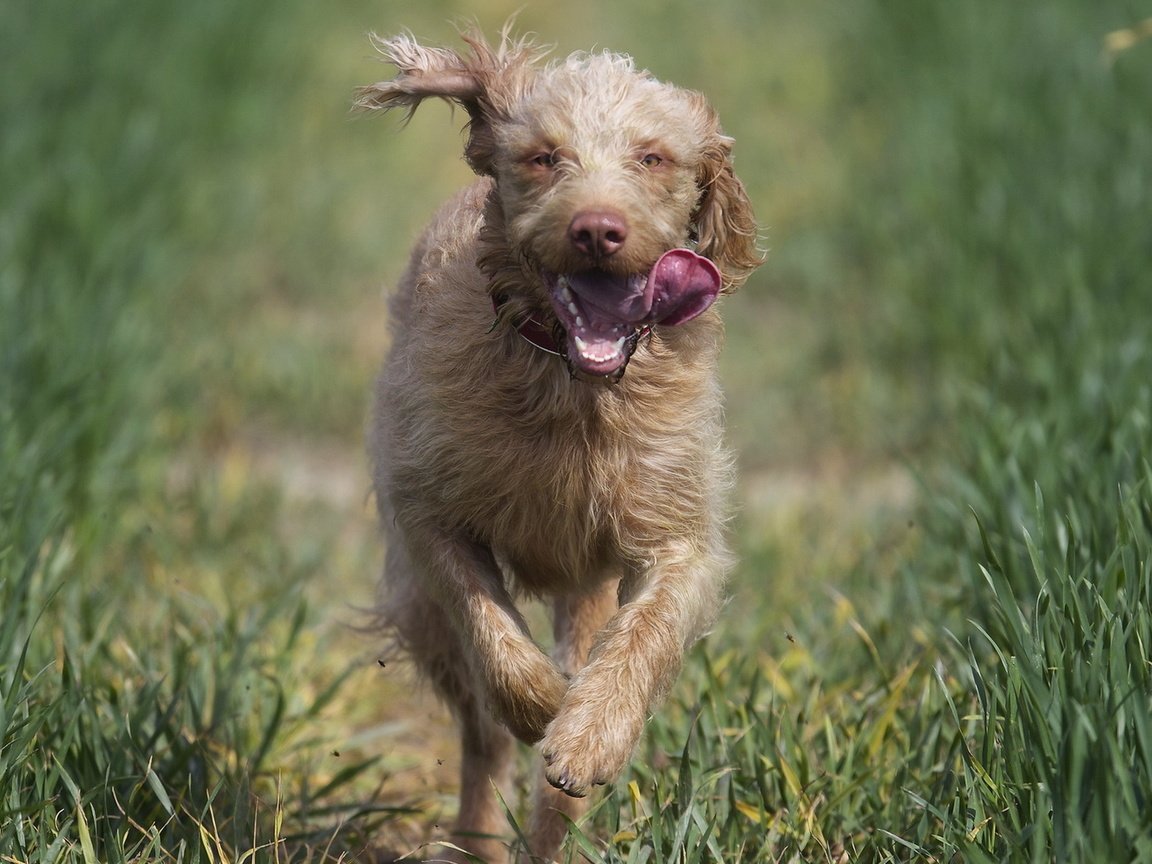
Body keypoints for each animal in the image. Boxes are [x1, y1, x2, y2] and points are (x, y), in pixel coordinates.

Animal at [354, 30, 760, 861]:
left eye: (652, 157)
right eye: (545, 157)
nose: (596, 230)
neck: (573, 391)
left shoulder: (677, 534)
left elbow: (644, 634)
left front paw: (587, 735)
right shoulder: (428, 513)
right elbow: (487, 624)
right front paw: (543, 702)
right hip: (420, 611)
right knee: (480, 735)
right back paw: (478, 835)